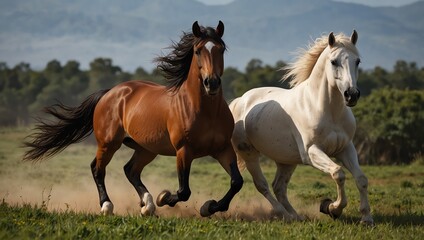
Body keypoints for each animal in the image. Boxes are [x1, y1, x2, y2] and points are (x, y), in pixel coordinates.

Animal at [23, 21, 242, 218]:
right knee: (98, 169)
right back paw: (108, 206)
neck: (205, 111)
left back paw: (147, 205)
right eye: (197, 51)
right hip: (109, 143)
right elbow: (183, 192)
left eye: (221, 50)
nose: (211, 83)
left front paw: (209, 207)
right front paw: (164, 197)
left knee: (130, 170)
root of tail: (109, 93)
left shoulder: (223, 149)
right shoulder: (184, 151)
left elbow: (236, 182)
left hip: (146, 148)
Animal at [230, 30, 372, 225]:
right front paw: (332, 208)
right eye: (334, 61)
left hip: (286, 161)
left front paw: (366, 218)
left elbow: (361, 179)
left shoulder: (346, 148)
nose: (351, 95)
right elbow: (338, 173)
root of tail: (240, 101)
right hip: (249, 154)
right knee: (263, 185)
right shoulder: (312, 152)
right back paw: (284, 214)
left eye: (357, 61)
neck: (327, 110)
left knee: (279, 187)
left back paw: (296, 216)